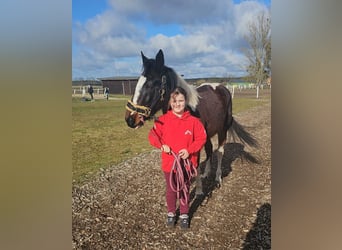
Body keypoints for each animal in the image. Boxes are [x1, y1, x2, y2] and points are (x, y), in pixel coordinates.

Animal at [124, 48, 258, 193]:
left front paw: (199, 191)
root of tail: (223, 88)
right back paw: (207, 173)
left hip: (223, 130)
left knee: (220, 152)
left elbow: (195, 164)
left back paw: (217, 179)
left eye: (152, 84)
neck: (186, 110)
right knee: (210, 150)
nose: (130, 119)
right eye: (138, 83)